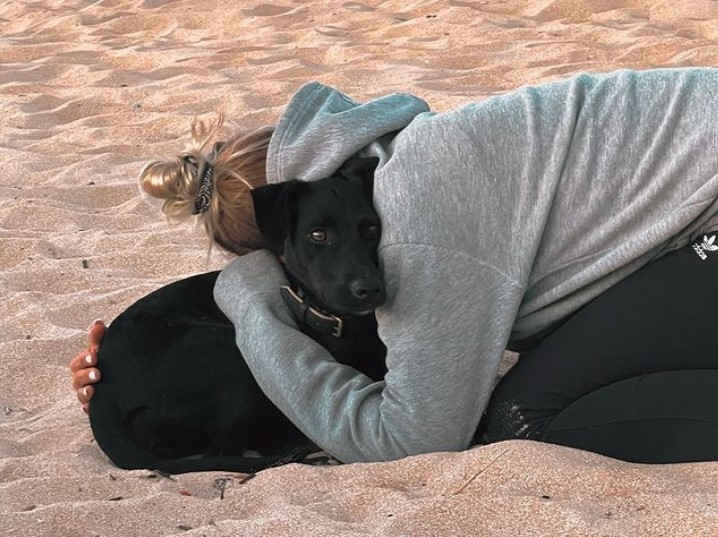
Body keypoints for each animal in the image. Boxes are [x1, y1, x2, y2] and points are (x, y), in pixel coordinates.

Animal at [92, 156, 390, 474]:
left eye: (371, 229)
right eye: (318, 235)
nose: (371, 288)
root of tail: (104, 391)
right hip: (230, 353)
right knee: (226, 448)